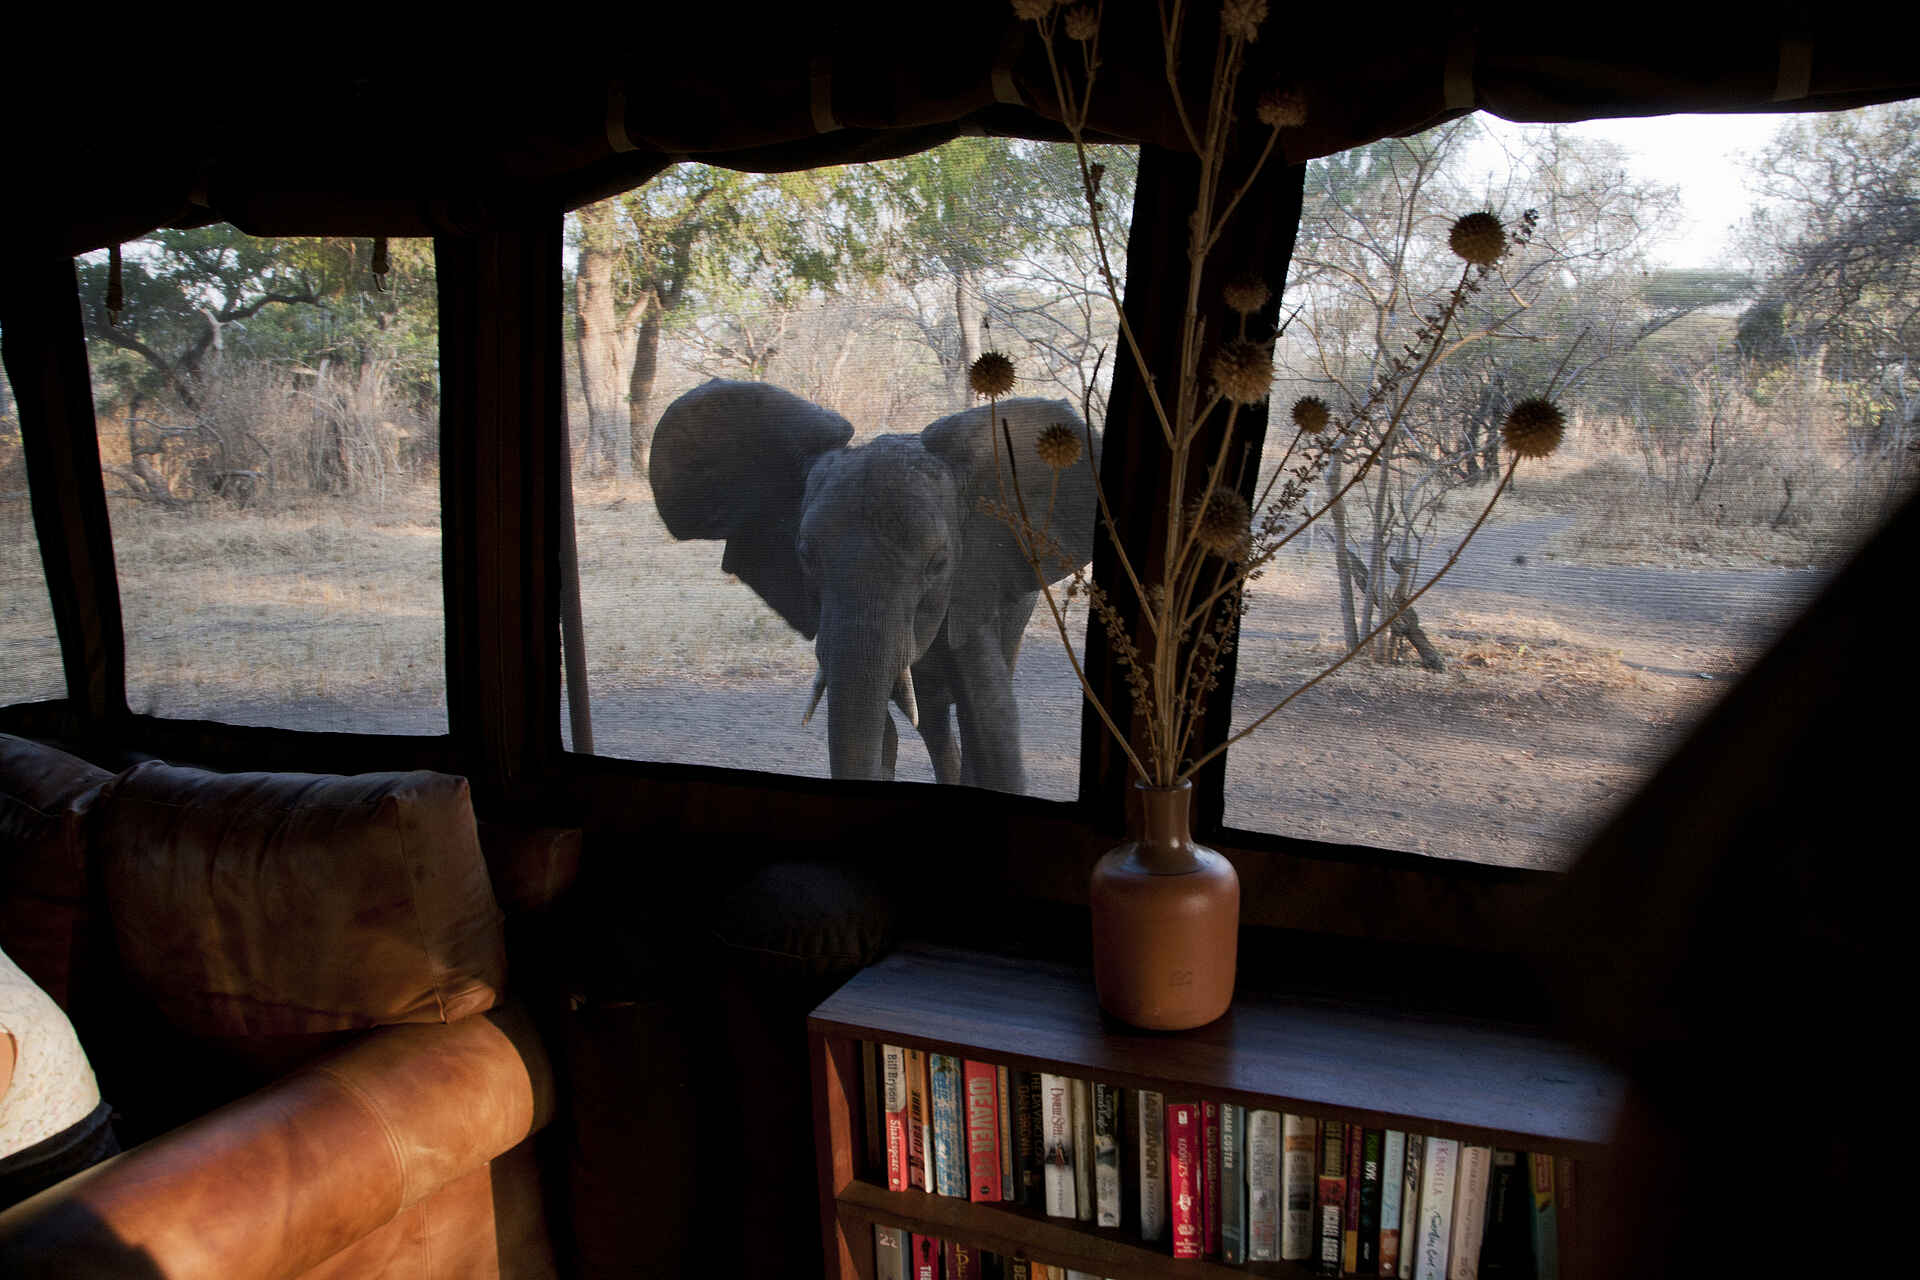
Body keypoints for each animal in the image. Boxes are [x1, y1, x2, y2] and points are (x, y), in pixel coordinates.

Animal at [649, 379, 1099, 793]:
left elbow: (992, 724)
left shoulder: (972, 589)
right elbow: (879, 730)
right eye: (805, 557)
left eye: (939, 564)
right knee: (931, 719)